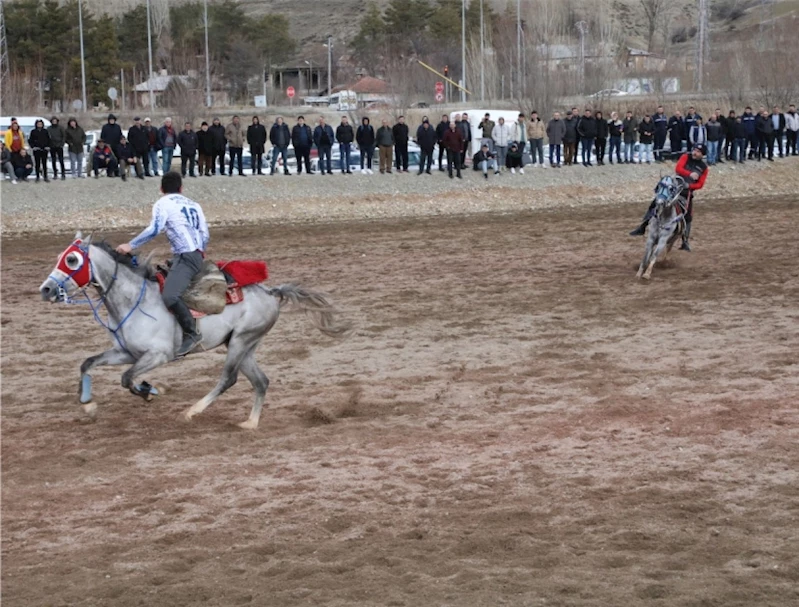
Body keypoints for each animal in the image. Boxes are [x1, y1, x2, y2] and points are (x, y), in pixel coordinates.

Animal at [39, 233, 348, 428]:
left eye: (72, 260)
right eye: (60, 256)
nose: (46, 289)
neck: (134, 300)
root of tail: (270, 292)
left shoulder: (158, 355)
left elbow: (127, 379)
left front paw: (149, 390)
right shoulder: (125, 352)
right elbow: (88, 363)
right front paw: (88, 404)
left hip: (241, 342)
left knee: (228, 379)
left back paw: (192, 411)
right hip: (244, 345)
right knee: (261, 382)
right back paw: (250, 423)